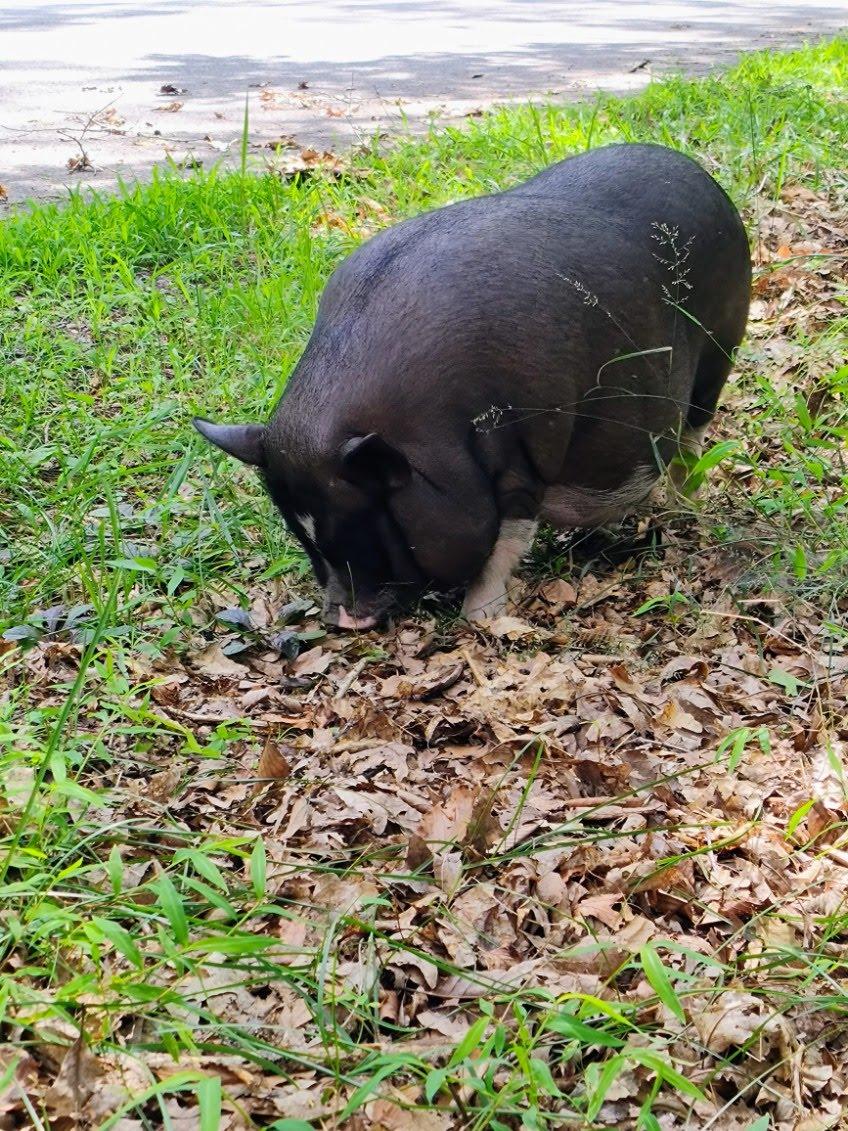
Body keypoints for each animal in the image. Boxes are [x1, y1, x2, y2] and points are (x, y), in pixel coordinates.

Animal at [194, 142, 750, 629]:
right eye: (302, 533)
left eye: (371, 522)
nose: (340, 621)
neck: (427, 431)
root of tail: (703, 177)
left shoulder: (526, 452)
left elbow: (506, 541)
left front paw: (479, 617)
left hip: (721, 349)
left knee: (693, 436)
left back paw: (682, 504)